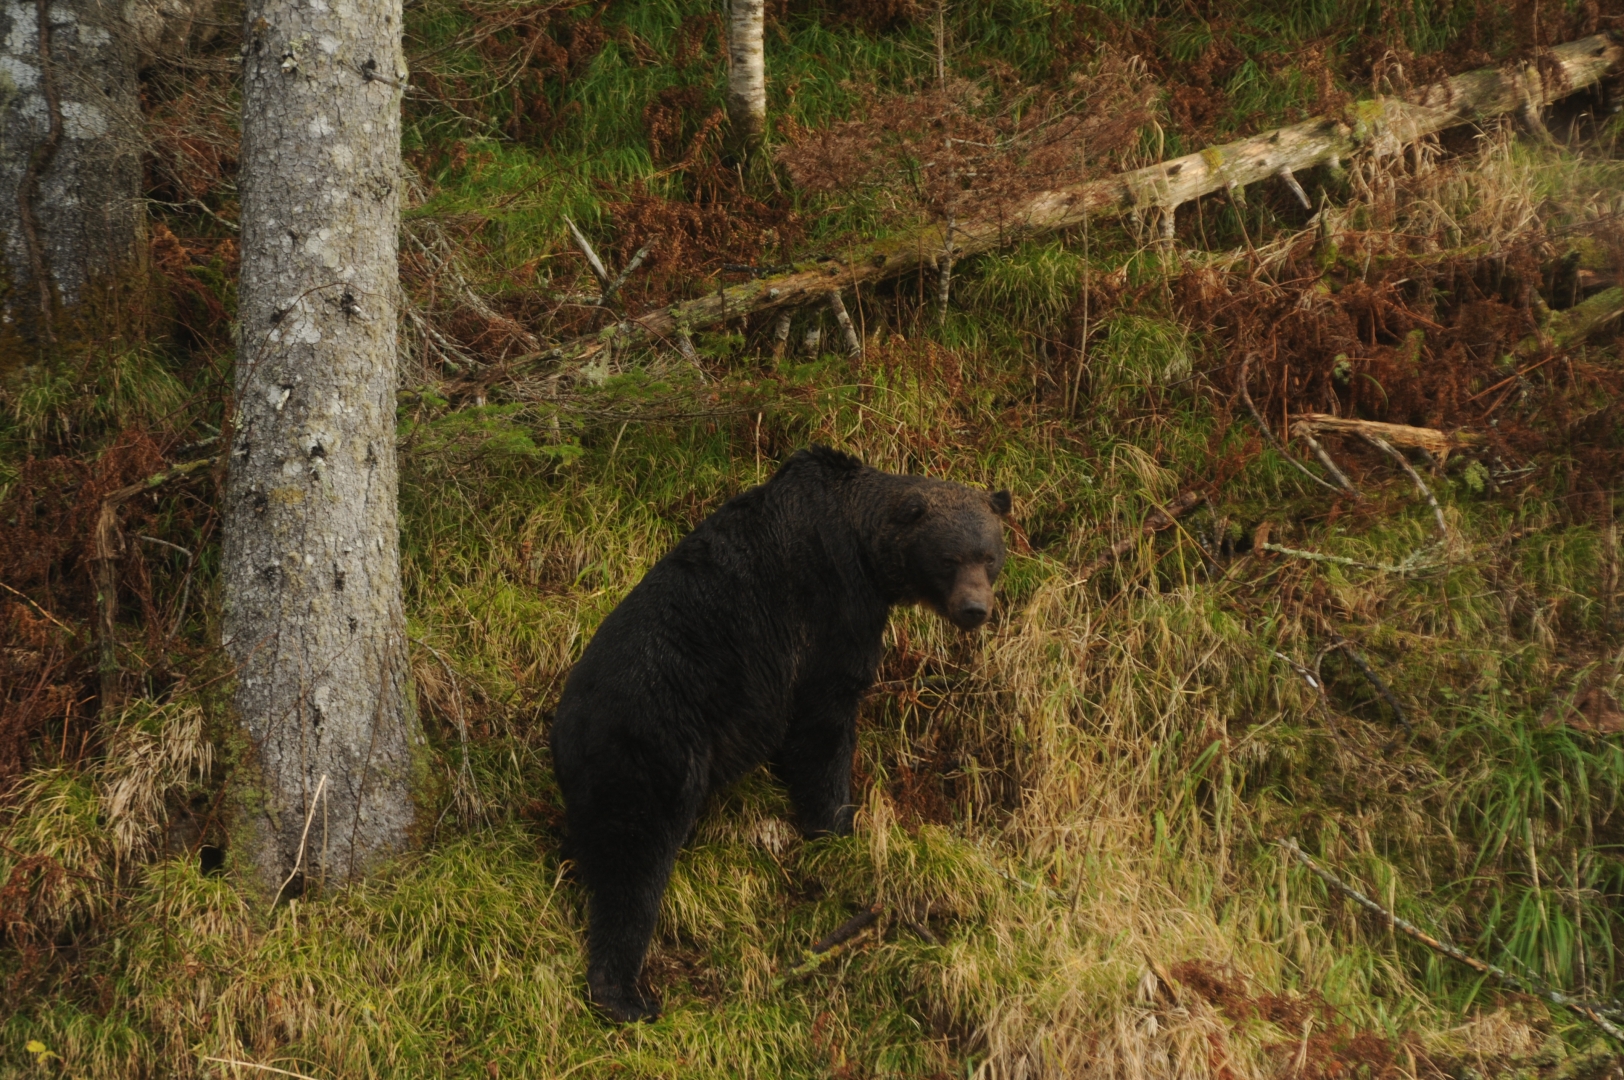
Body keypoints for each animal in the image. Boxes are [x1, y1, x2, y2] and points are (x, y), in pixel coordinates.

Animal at [552, 444, 1006, 1019]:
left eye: (989, 557)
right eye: (949, 558)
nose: (975, 610)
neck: (866, 550)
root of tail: (562, 729)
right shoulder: (831, 609)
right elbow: (824, 725)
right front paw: (836, 826)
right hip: (651, 751)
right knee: (633, 869)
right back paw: (628, 996)